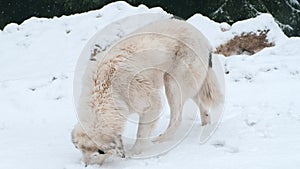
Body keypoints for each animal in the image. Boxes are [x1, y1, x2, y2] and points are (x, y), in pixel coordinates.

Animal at [71, 17, 224, 166]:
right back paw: (205, 126)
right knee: (201, 105)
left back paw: (160, 141)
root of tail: (202, 37)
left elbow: (140, 133)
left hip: (173, 83)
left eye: (99, 152)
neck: (104, 89)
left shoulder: (150, 103)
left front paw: (134, 152)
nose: (86, 165)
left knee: (177, 119)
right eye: (80, 150)